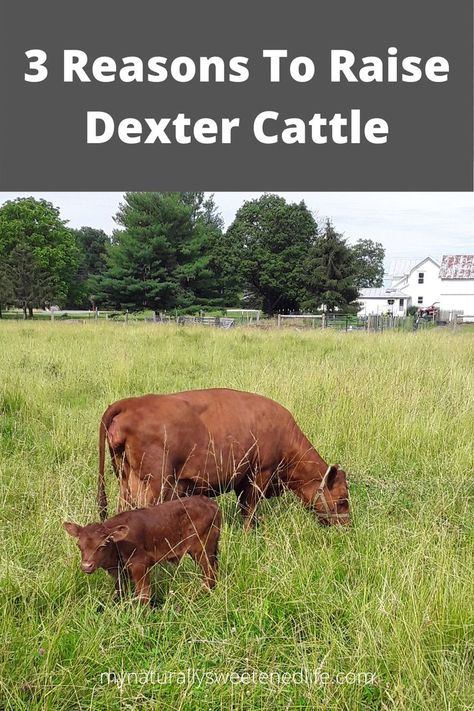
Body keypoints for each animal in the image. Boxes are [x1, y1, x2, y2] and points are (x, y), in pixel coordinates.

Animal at [63, 496, 222, 608]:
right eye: (79, 545)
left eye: (103, 545)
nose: (86, 566)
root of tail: (211, 503)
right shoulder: (118, 571)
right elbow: (120, 590)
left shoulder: (140, 564)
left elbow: (144, 593)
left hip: (203, 548)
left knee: (210, 574)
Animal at [98, 390, 350, 528]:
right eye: (341, 500)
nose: (346, 527)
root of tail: (130, 403)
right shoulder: (260, 475)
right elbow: (249, 510)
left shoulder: (242, 480)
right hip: (155, 485)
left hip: (126, 481)